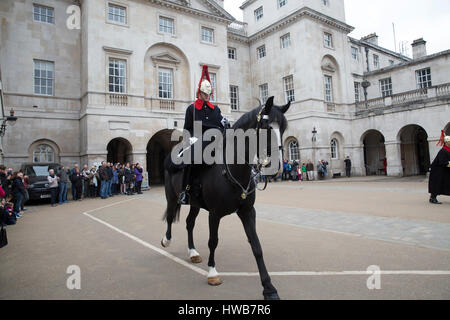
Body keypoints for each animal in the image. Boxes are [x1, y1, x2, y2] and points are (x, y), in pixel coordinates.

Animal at [162, 97, 292, 300]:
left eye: (284, 129)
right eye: (265, 126)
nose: (277, 169)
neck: (232, 169)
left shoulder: (247, 212)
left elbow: (256, 246)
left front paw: (269, 288)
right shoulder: (214, 214)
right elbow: (213, 241)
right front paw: (213, 273)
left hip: (195, 204)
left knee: (190, 223)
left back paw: (192, 252)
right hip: (171, 196)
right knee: (169, 216)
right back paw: (167, 240)